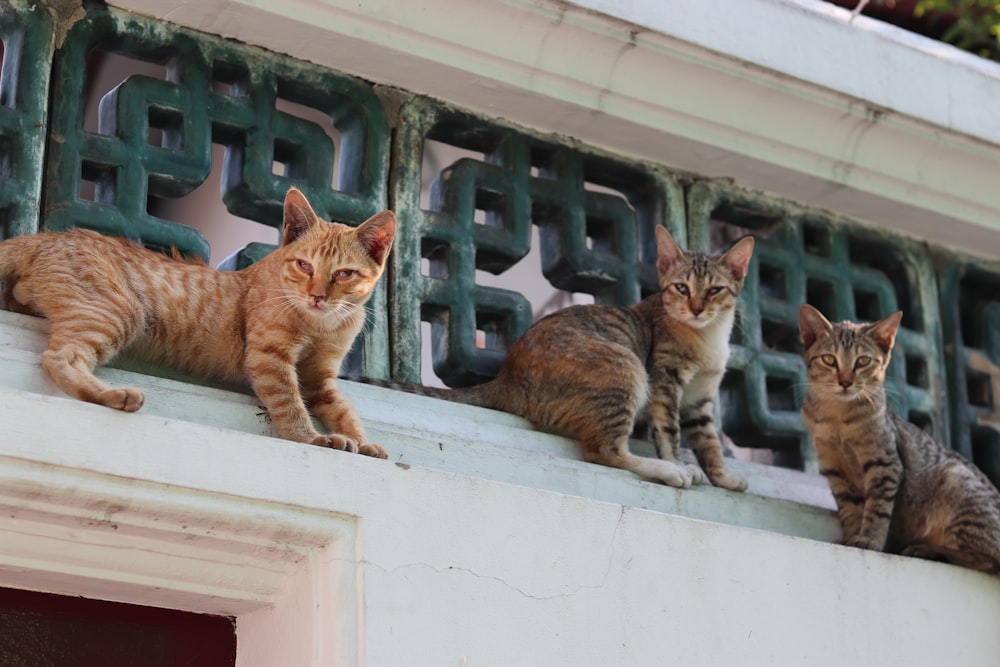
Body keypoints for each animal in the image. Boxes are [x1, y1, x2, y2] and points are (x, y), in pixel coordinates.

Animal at [0, 188, 396, 460]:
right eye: (304, 266)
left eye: (343, 274)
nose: (316, 296)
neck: (321, 325)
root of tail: (47, 236)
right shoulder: (270, 358)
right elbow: (289, 403)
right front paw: (312, 438)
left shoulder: (320, 380)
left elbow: (344, 412)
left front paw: (363, 442)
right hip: (116, 311)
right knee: (58, 358)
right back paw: (114, 396)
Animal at [372, 226, 752, 490]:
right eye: (681, 288)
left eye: (715, 290)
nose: (697, 308)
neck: (707, 338)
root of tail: (507, 378)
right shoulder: (664, 382)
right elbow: (670, 432)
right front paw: (679, 463)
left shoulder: (700, 398)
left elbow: (709, 442)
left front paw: (723, 478)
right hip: (626, 366)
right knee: (604, 452)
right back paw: (668, 471)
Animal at [800, 306, 1000, 576]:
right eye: (830, 360)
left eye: (862, 361)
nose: (845, 382)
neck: (837, 419)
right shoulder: (836, 472)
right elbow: (849, 511)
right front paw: (851, 537)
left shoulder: (885, 465)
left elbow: (876, 510)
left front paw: (869, 539)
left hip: (956, 479)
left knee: (986, 560)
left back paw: (927, 549)